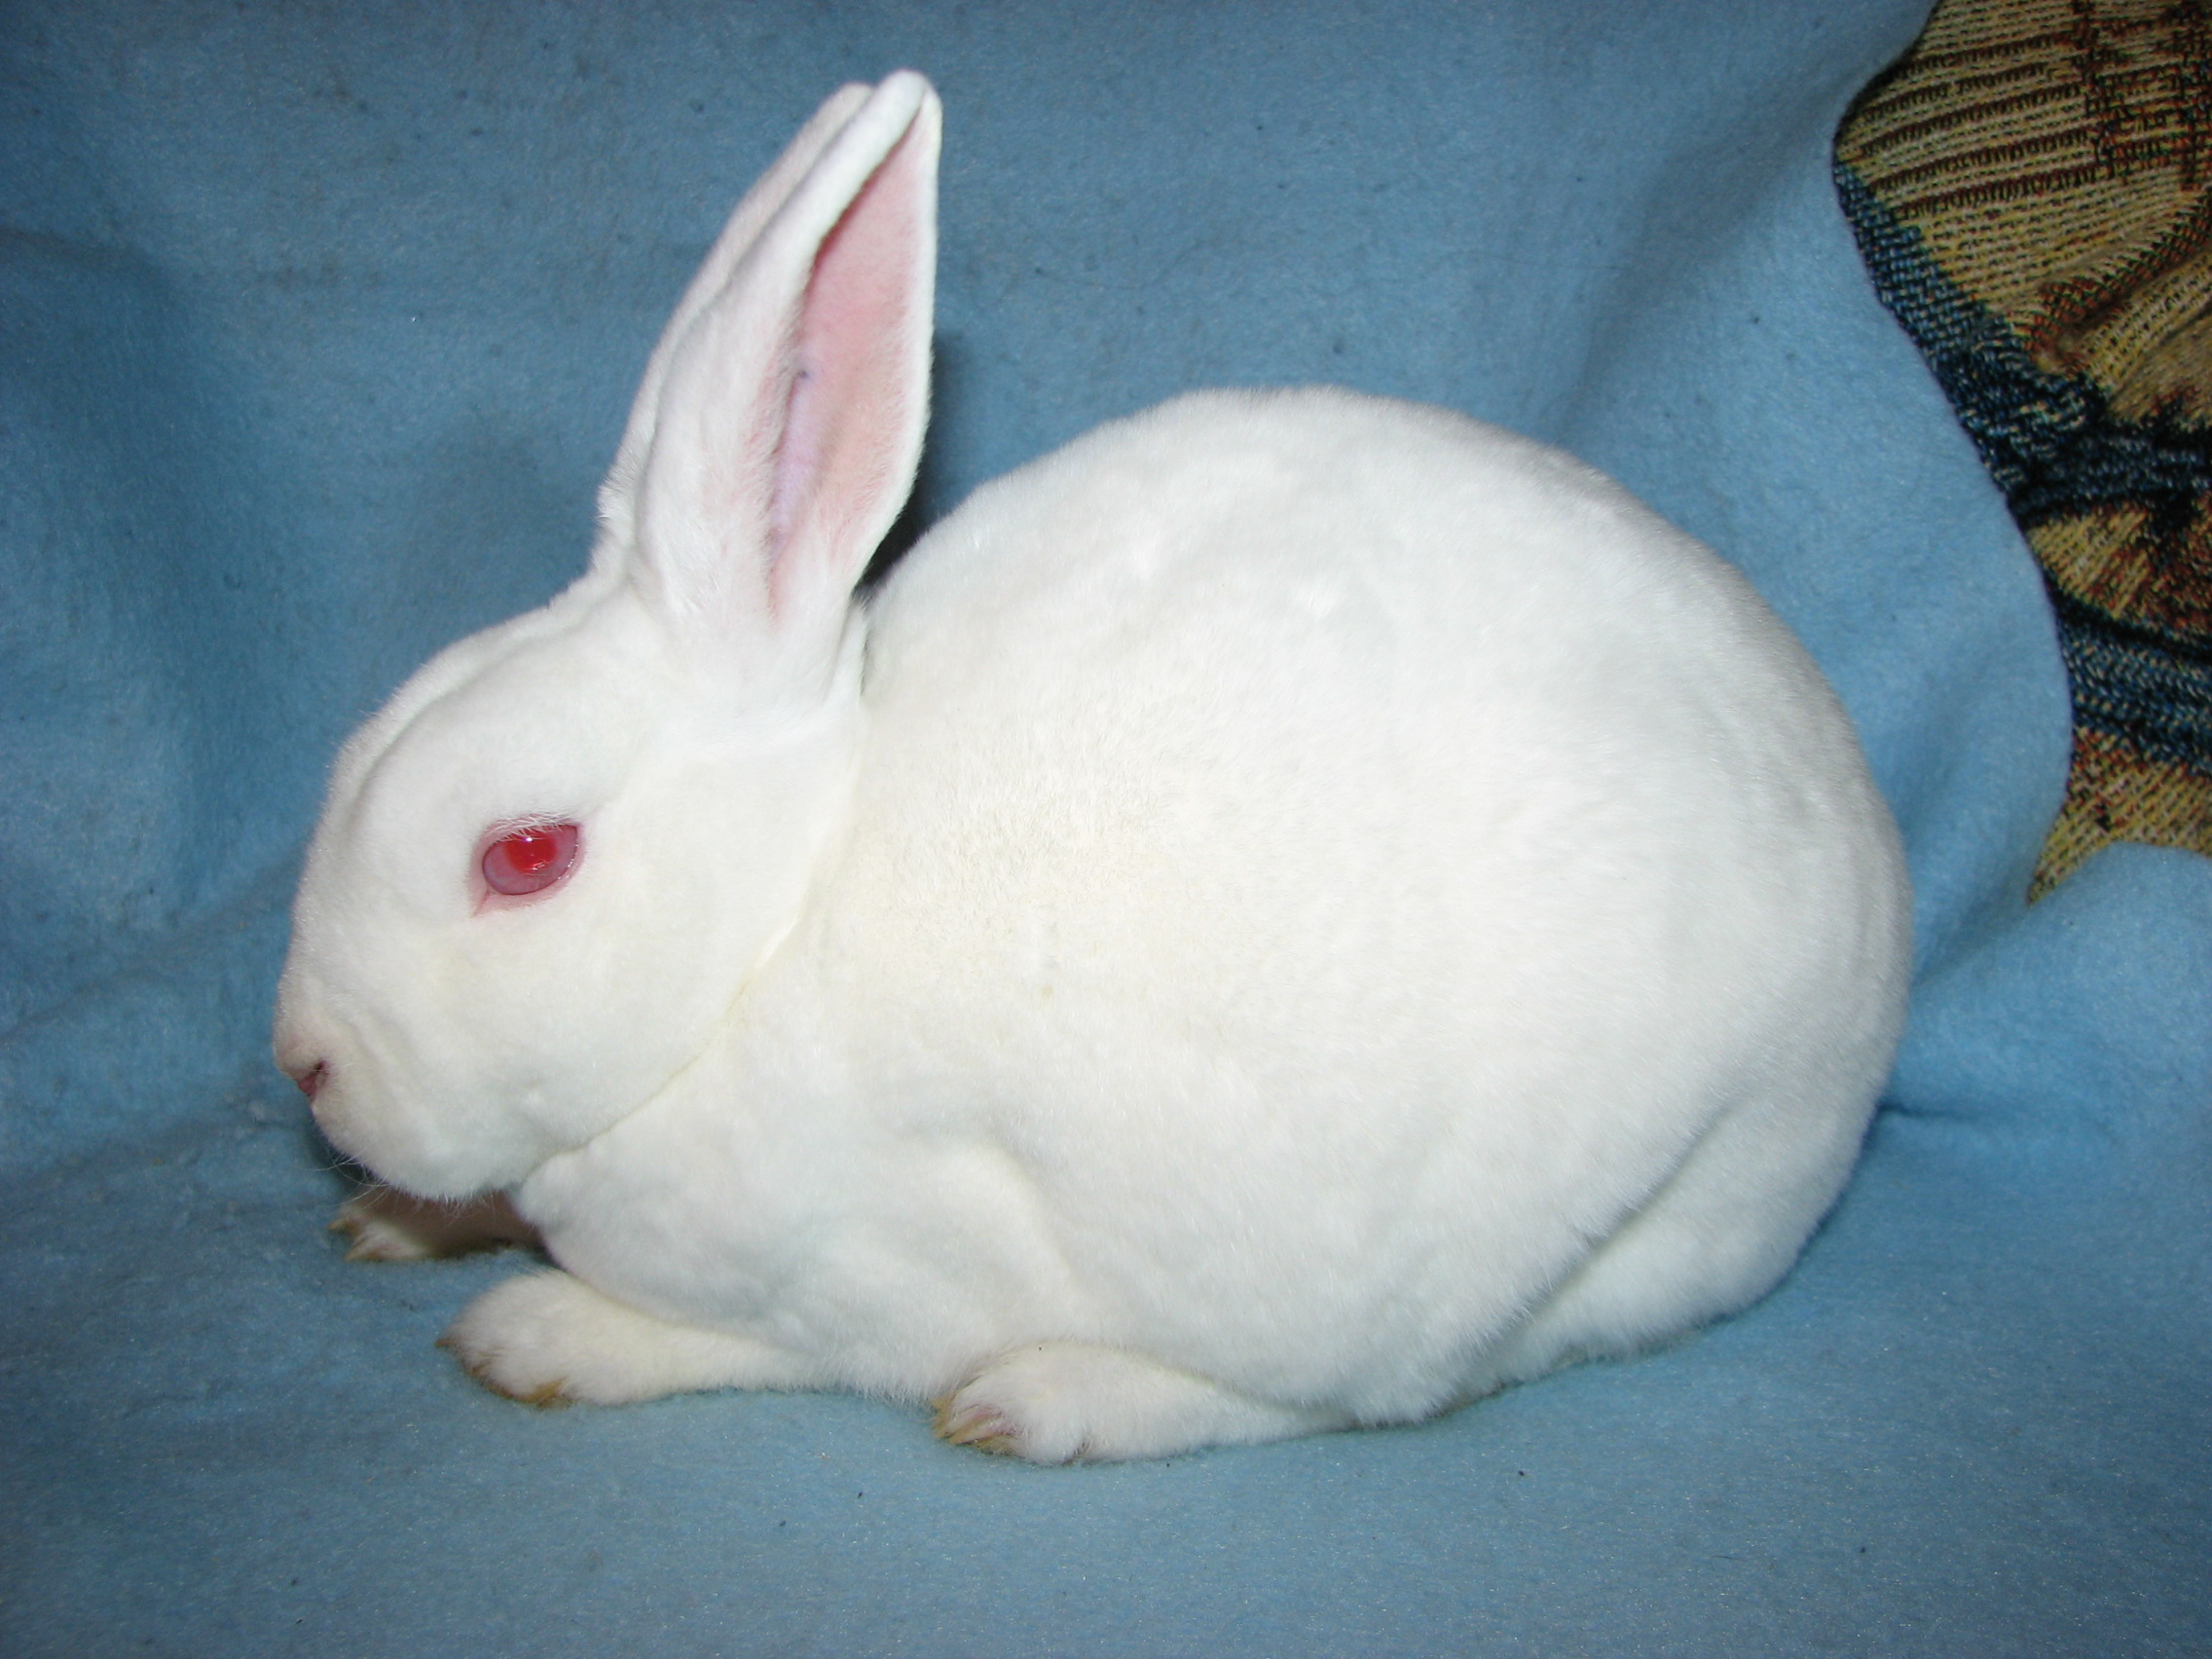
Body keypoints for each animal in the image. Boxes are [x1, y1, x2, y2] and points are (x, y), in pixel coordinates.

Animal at [274, 70, 1912, 1463]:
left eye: (524, 856)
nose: (307, 1065)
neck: (767, 929)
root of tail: (1873, 925)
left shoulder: (867, 1283)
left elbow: (739, 1341)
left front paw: (535, 1332)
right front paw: (401, 1223)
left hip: (1510, 1256)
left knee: (1363, 1395)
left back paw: (1051, 1401)